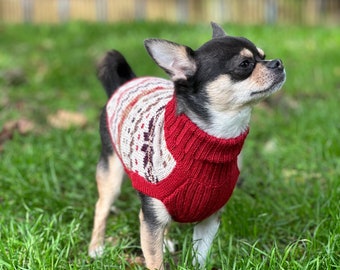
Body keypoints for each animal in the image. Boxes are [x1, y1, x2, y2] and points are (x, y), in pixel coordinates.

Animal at [89, 22, 286, 268]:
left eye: (263, 56)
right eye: (245, 64)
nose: (278, 62)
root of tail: (127, 82)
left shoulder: (209, 220)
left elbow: (199, 256)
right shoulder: (152, 217)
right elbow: (155, 261)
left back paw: (164, 242)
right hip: (111, 172)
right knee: (102, 207)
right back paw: (96, 247)